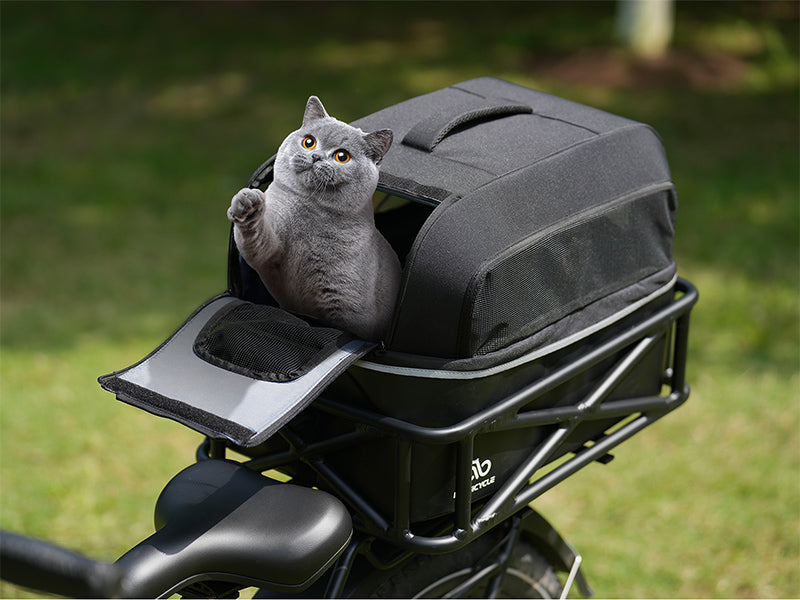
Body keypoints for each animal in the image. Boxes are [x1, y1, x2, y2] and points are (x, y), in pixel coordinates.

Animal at [227, 97, 400, 342]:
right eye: (309, 142)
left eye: (342, 156)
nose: (315, 156)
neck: (310, 209)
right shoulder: (268, 253)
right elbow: (256, 239)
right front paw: (247, 202)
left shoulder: (349, 308)